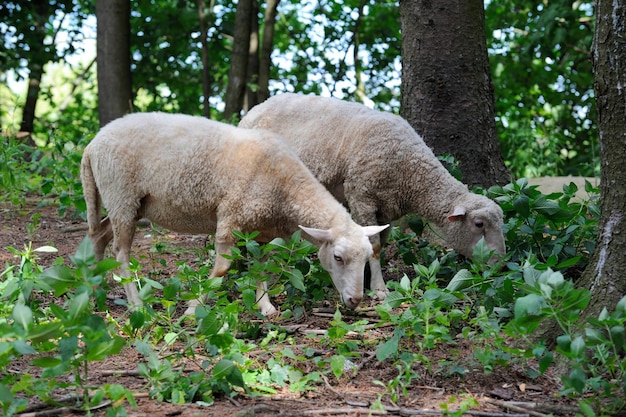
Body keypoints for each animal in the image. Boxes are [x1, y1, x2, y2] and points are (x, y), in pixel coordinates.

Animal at [80, 110, 388, 316]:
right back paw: (136, 304)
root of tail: (92, 144)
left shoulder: (262, 228)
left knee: (98, 236)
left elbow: (262, 266)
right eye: (337, 257)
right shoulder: (230, 217)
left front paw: (265, 306)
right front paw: (194, 307)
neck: (286, 188)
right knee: (120, 253)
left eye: (366, 258)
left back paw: (93, 294)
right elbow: (222, 268)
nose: (356, 301)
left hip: (126, 203)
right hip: (122, 195)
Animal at [239, 92, 508, 298]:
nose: (501, 264)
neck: (410, 169)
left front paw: (365, 278)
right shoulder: (362, 197)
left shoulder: (386, 210)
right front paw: (379, 290)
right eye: (479, 224)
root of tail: (255, 109)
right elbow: (375, 245)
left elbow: (377, 243)